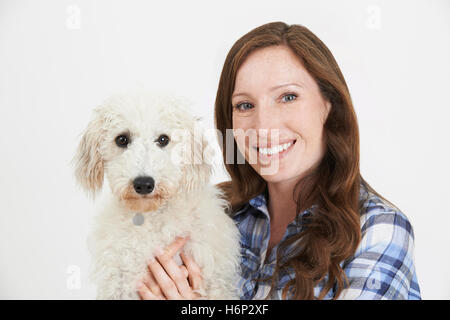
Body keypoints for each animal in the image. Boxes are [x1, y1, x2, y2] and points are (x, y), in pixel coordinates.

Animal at [73, 90, 243, 300]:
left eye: (163, 139)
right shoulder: (119, 282)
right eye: (121, 139)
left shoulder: (215, 277)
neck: (151, 217)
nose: (144, 184)